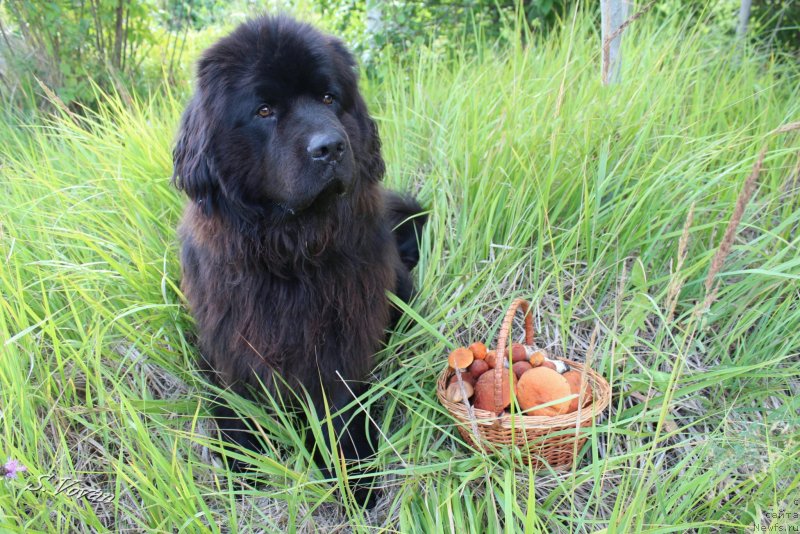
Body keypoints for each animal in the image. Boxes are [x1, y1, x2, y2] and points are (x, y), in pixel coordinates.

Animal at [173, 13, 428, 506]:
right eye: (264, 111)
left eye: (329, 98)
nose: (331, 147)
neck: (290, 251)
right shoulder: (228, 339)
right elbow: (234, 400)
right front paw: (240, 464)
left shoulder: (343, 335)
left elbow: (340, 404)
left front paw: (352, 474)